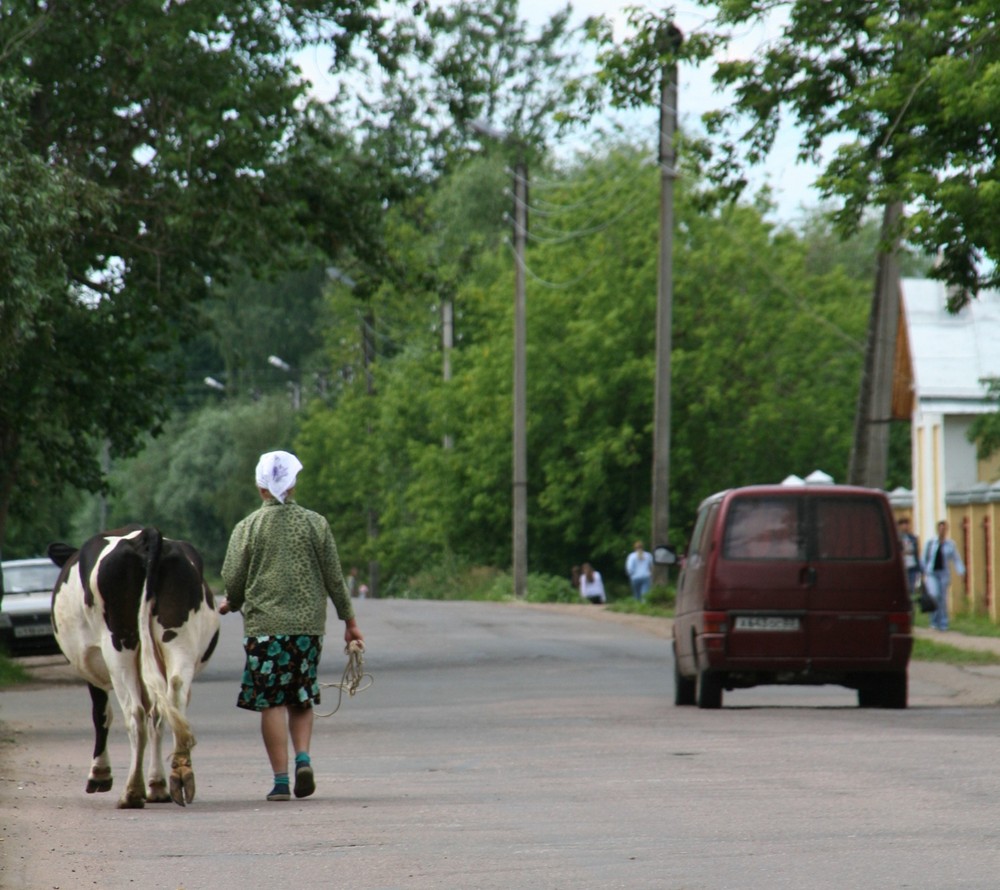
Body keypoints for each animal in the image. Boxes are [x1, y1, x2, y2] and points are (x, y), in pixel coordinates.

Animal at [48, 524, 219, 808]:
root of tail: (144, 535)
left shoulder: (92, 668)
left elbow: (101, 714)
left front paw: (100, 774)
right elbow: (157, 715)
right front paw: (157, 784)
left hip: (118, 646)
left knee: (136, 714)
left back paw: (132, 792)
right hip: (178, 639)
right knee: (172, 701)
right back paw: (177, 778)